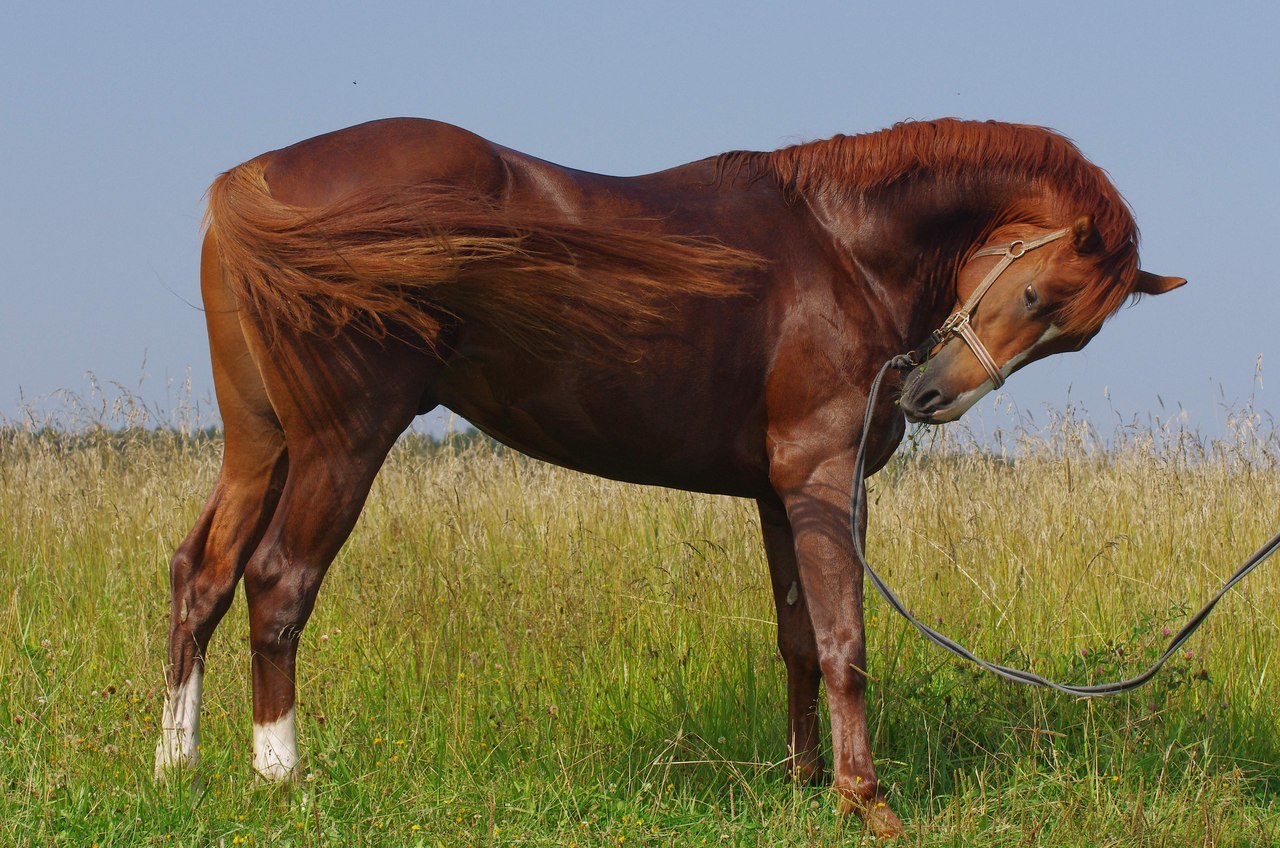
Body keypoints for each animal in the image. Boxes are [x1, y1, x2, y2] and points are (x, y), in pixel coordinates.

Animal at [154, 116, 1182, 840]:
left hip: (260, 443)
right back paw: (280, 776)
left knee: (202, 576)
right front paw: (865, 799)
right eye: (1035, 293)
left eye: (1072, 337)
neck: (838, 244)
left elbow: (797, 641)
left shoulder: (776, 495)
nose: (931, 395)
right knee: (279, 583)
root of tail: (260, 177)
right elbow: (844, 641)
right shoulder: (824, 478)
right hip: (341, 444)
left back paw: (177, 766)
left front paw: (804, 783)